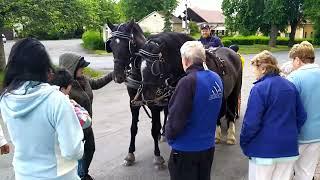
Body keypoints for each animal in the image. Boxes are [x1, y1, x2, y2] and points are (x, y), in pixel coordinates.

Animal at [107, 21, 168, 169]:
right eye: (111, 46)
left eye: (126, 45)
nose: (117, 77)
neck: (140, 74)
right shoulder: (133, 103)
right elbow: (133, 128)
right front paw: (130, 154)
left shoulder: (154, 103)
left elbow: (154, 129)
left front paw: (158, 156)